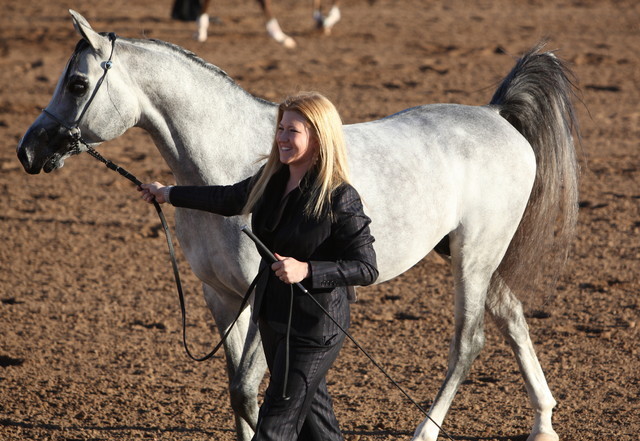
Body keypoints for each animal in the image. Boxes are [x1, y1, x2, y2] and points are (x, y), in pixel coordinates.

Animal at [17, 10, 579, 441]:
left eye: (77, 83)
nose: (28, 151)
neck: (231, 160)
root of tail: (496, 114)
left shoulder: (267, 288)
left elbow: (250, 387)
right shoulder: (221, 296)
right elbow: (238, 392)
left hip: (473, 257)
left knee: (469, 341)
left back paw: (427, 431)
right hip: (471, 254)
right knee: (512, 315)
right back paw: (543, 423)